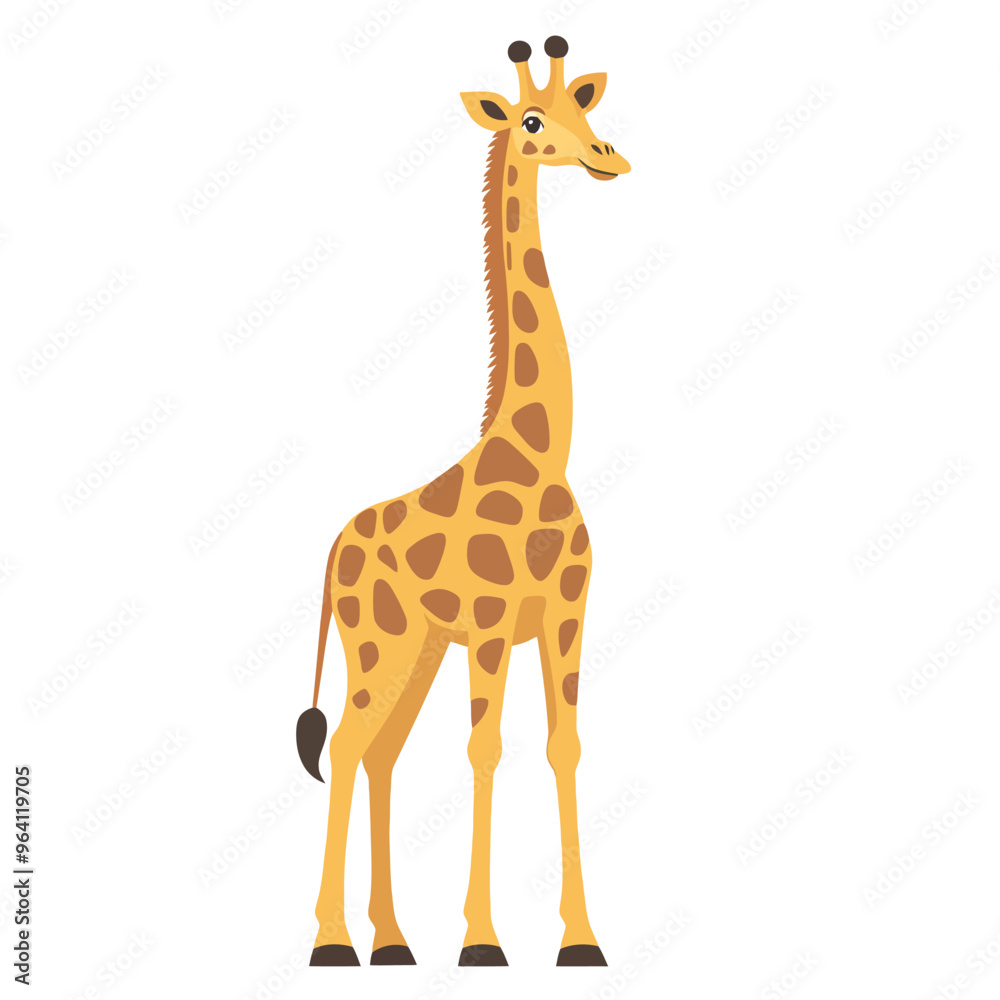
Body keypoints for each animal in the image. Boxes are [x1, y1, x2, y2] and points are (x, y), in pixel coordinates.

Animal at [296, 35, 630, 968]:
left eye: (585, 106)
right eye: (531, 121)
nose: (607, 156)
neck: (543, 454)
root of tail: (333, 550)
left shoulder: (564, 613)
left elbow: (564, 746)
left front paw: (580, 941)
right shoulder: (489, 622)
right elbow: (485, 748)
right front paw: (483, 942)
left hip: (412, 652)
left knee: (379, 756)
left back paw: (393, 942)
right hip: (381, 646)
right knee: (347, 747)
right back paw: (334, 943)